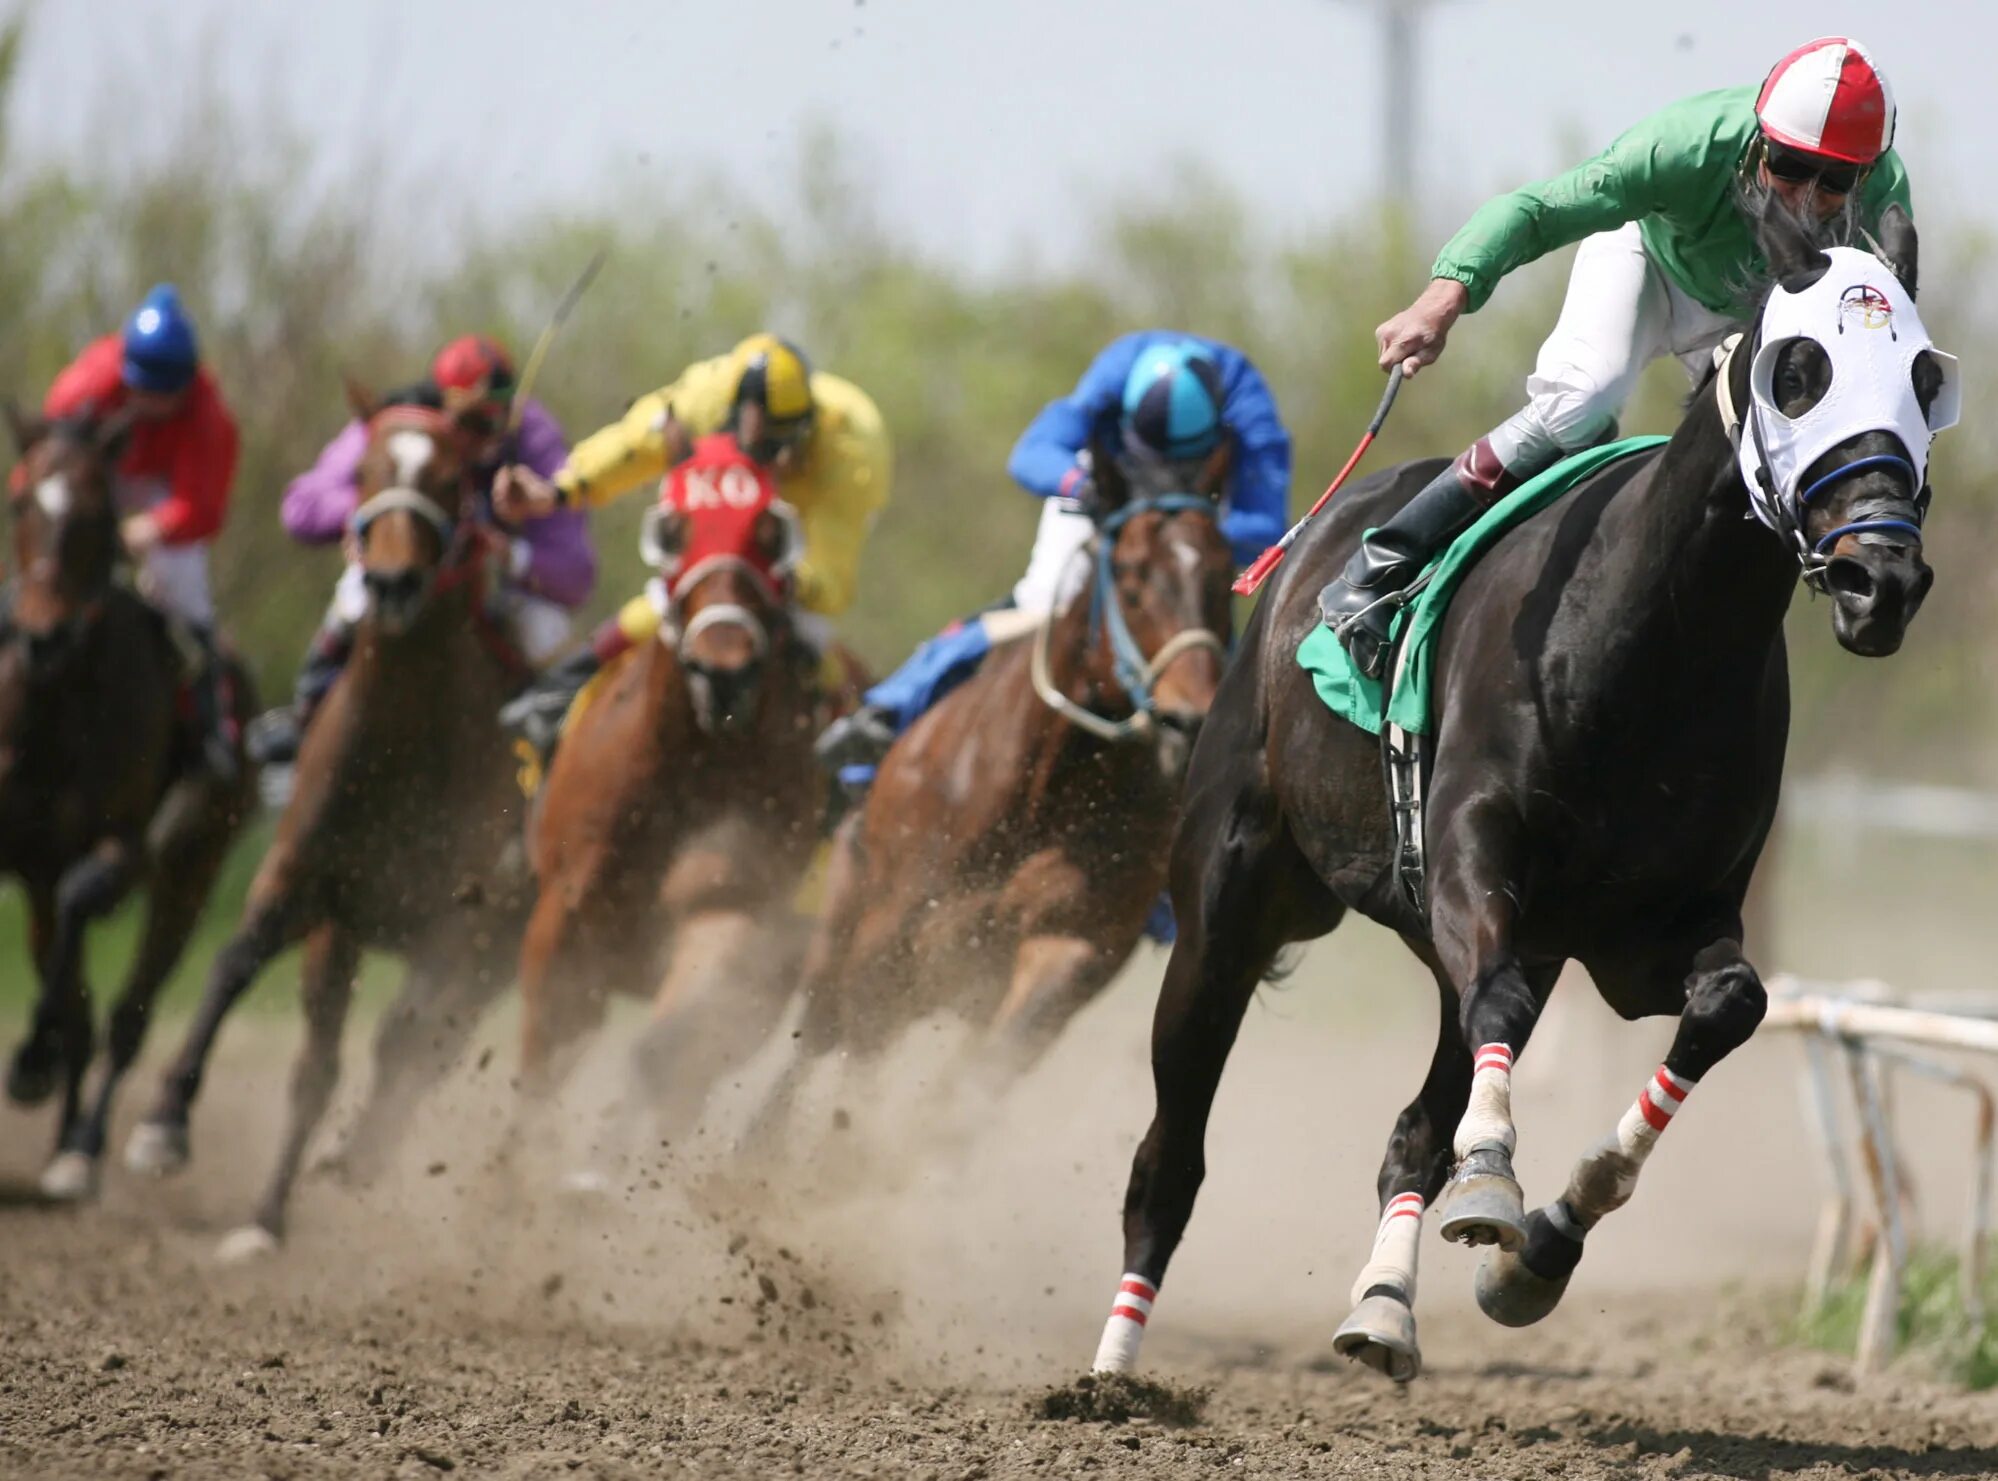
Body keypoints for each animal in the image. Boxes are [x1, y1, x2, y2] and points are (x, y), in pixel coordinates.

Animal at [0, 403, 253, 1199]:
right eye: (20, 502)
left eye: (95, 515)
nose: (43, 636)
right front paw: (37, 1057)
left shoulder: (122, 844)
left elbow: (85, 898)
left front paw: (33, 1061)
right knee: (78, 999)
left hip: (192, 871)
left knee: (125, 1016)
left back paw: (81, 1143)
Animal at [127, 389, 535, 1247]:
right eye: (366, 471)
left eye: (451, 480)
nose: (391, 581)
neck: (403, 743)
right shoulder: (307, 881)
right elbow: (236, 961)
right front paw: (163, 1123)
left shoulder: (459, 922)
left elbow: (406, 1037)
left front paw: (360, 1153)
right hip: (340, 939)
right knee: (320, 1065)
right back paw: (268, 1216)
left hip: (496, 948)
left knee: (421, 1046)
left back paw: (358, 1154)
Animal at [515, 433, 827, 1159]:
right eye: (674, 529)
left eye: (770, 532)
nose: (723, 671)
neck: (689, 765)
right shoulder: (562, 915)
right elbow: (540, 1066)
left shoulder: (732, 900)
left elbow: (676, 1043)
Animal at [755, 445, 1238, 1135]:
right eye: (1130, 576)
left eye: (1226, 576)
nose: (1188, 720)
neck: (1044, 791)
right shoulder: (892, 933)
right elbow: (856, 1051)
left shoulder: (1070, 945)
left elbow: (980, 1074)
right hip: (844, 911)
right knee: (818, 1037)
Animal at [1094, 210, 1950, 1383]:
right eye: (1799, 370)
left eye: (1927, 377)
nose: (1883, 580)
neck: (1648, 644)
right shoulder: (1471, 858)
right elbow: (1492, 1012)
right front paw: (1495, 1187)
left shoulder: (1643, 936)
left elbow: (1729, 1004)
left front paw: (1542, 1243)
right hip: (1230, 897)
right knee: (1171, 1148)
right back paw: (1113, 1361)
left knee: (1414, 1125)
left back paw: (1383, 1309)